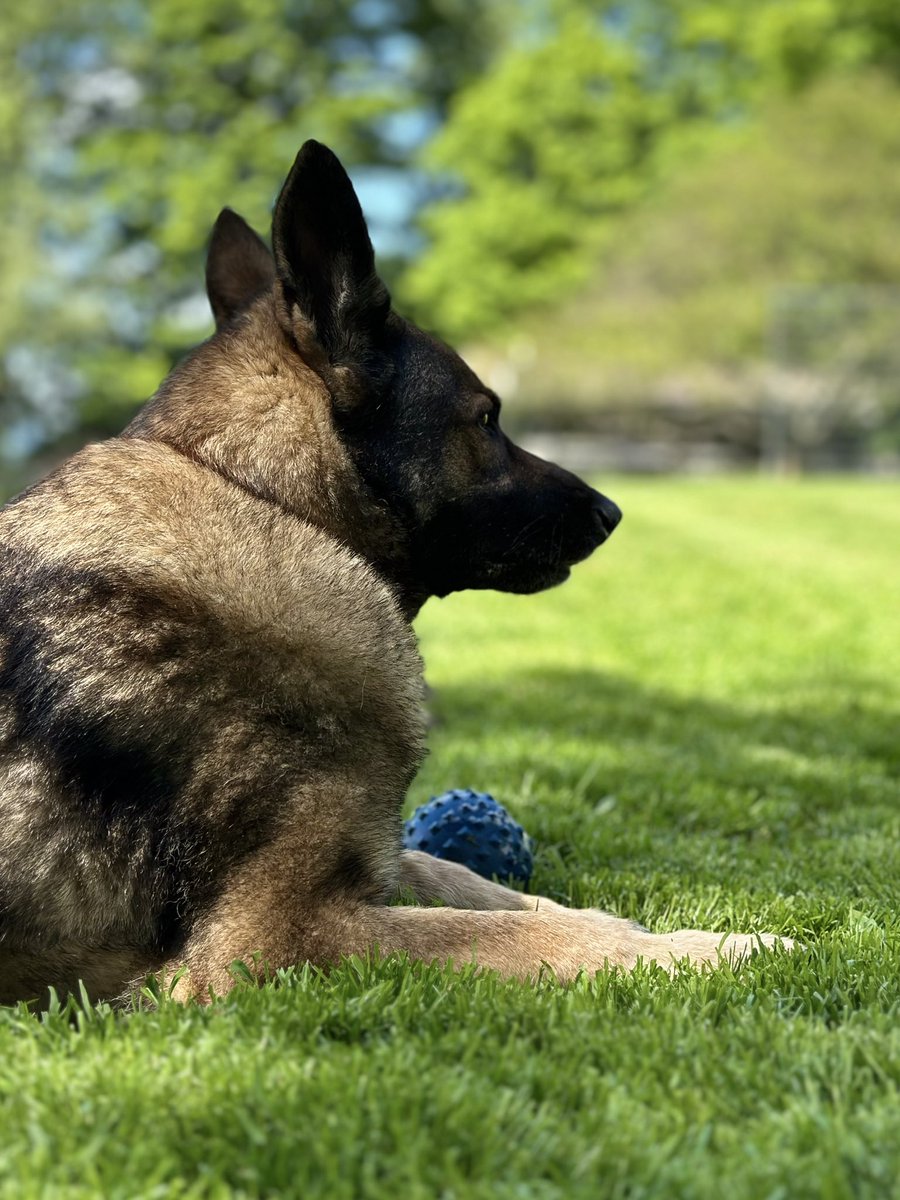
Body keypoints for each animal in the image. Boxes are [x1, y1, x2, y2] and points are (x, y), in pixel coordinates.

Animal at [0, 140, 787, 1003]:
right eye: (487, 419)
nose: (612, 512)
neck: (263, 499)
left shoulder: (363, 871)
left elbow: (460, 877)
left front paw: (629, 925)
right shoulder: (269, 936)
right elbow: (501, 934)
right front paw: (710, 949)